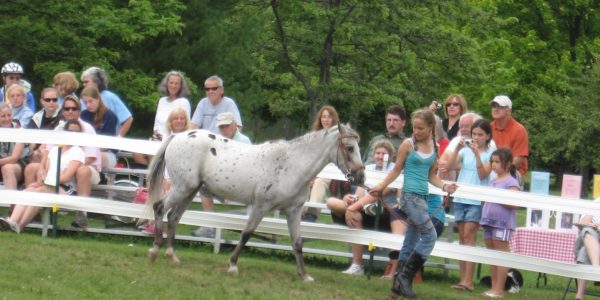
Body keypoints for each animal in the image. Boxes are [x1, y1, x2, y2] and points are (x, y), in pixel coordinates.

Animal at [147, 123, 364, 282]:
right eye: (350, 148)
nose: (361, 177)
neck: (292, 165)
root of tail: (178, 136)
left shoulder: (293, 211)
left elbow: (297, 242)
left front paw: (304, 276)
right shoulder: (261, 206)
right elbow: (246, 234)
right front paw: (233, 265)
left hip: (190, 190)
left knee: (173, 217)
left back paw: (172, 256)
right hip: (182, 188)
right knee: (159, 207)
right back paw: (155, 251)